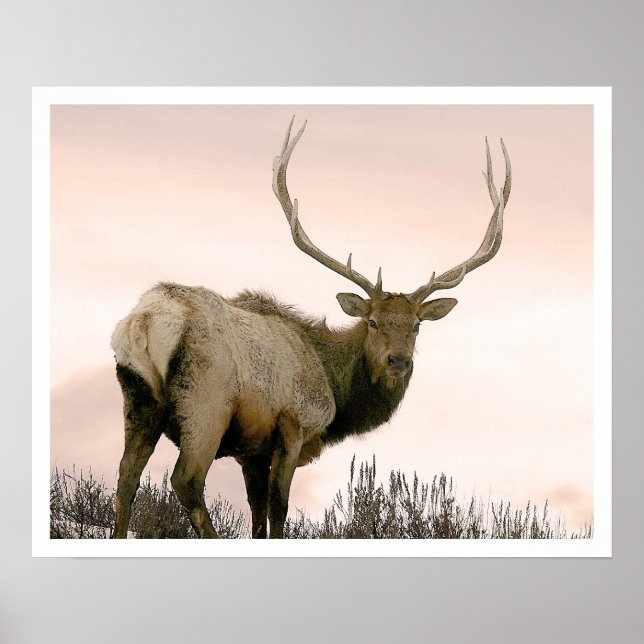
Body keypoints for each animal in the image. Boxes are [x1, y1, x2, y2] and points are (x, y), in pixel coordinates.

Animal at [110, 118, 511, 539]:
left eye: (416, 325)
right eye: (372, 322)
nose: (398, 361)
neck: (336, 388)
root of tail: (145, 320)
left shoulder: (252, 451)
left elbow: (257, 517)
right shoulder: (295, 422)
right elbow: (279, 509)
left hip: (138, 397)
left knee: (125, 479)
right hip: (207, 401)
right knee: (185, 480)